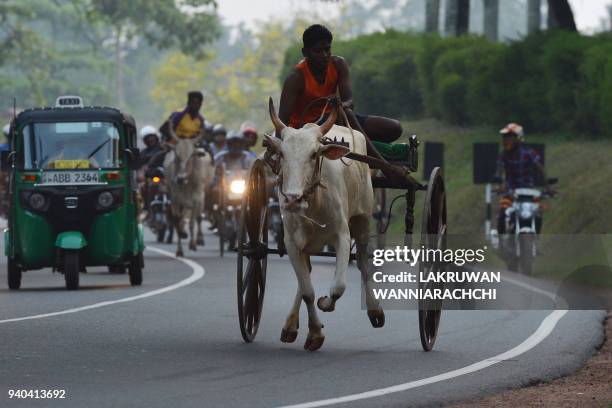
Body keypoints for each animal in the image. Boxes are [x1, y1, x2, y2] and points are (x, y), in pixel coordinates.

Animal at [164, 126, 214, 256]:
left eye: (191, 155)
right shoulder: (175, 199)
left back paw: (199, 239)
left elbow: (192, 222)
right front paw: (179, 250)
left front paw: (192, 244)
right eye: (176, 155)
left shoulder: (197, 198)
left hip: (202, 196)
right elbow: (177, 221)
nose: (180, 178)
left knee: (198, 217)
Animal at [266, 98, 384, 350]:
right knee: (307, 276)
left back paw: (375, 310)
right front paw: (314, 333)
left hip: (362, 219)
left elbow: (338, 287)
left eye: (313, 154)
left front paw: (325, 303)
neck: (314, 201)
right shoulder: (292, 243)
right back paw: (290, 326)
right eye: (282, 154)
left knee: (363, 263)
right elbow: (307, 291)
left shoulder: (342, 235)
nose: (292, 199)